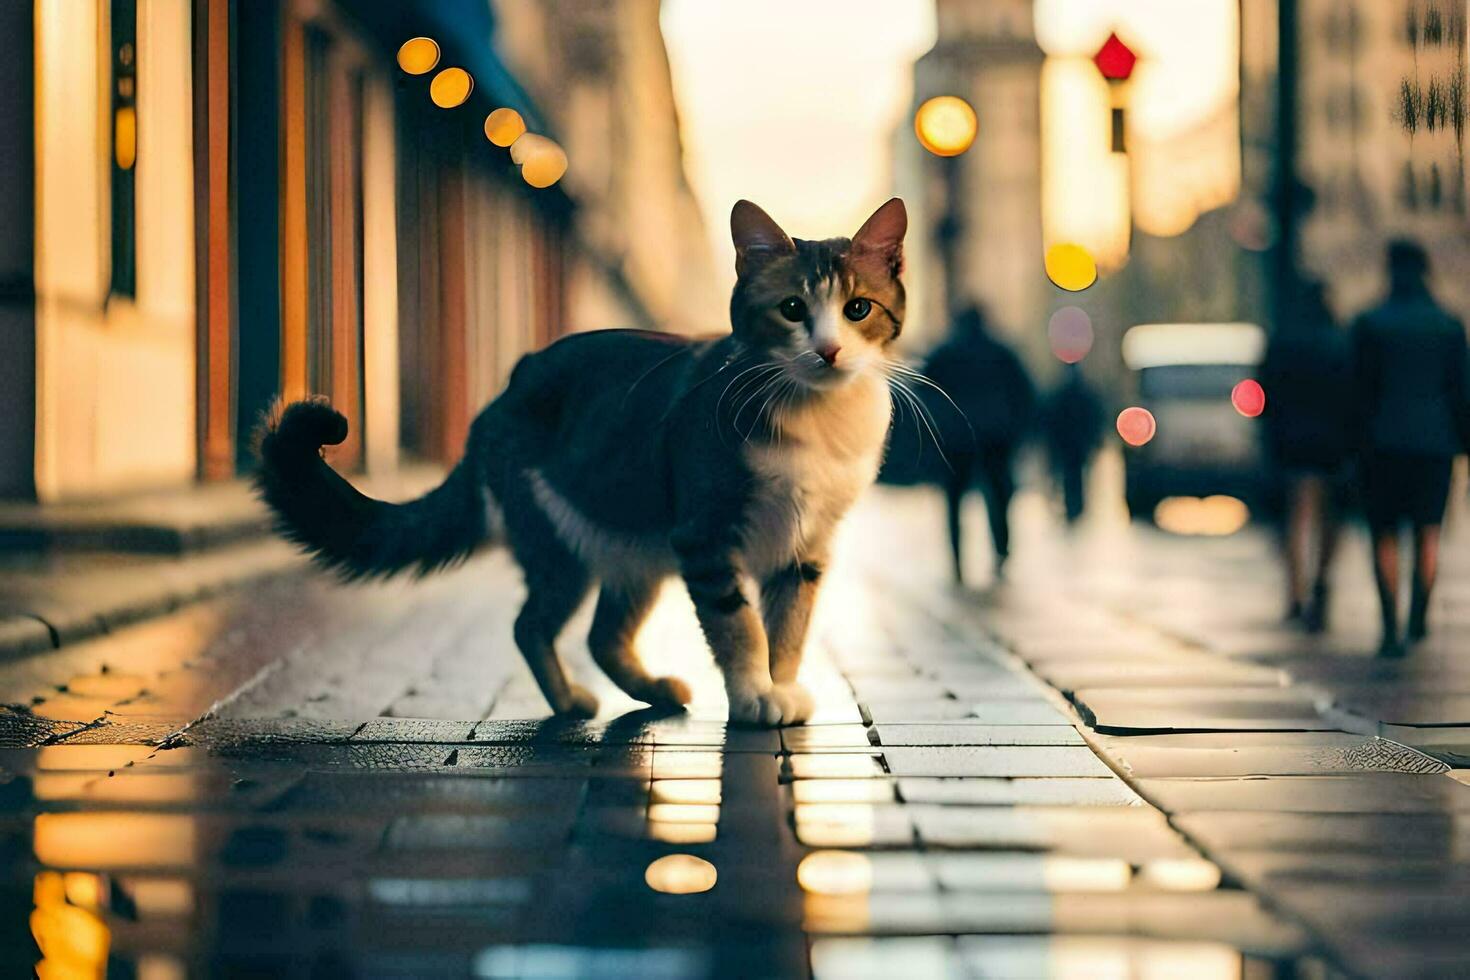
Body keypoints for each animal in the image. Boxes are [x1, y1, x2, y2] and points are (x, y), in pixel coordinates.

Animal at [260, 195, 905, 725]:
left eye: (858, 309)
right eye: (793, 309)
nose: (828, 350)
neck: (816, 419)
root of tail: (499, 398)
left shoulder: (807, 545)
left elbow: (789, 627)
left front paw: (781, 686)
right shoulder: (705, 534)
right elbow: (739, 625)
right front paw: (754, 696)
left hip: (636, 544)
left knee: (602, 636)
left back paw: (653, 691)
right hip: (561, 541)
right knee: (530, 625)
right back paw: (570, 701)